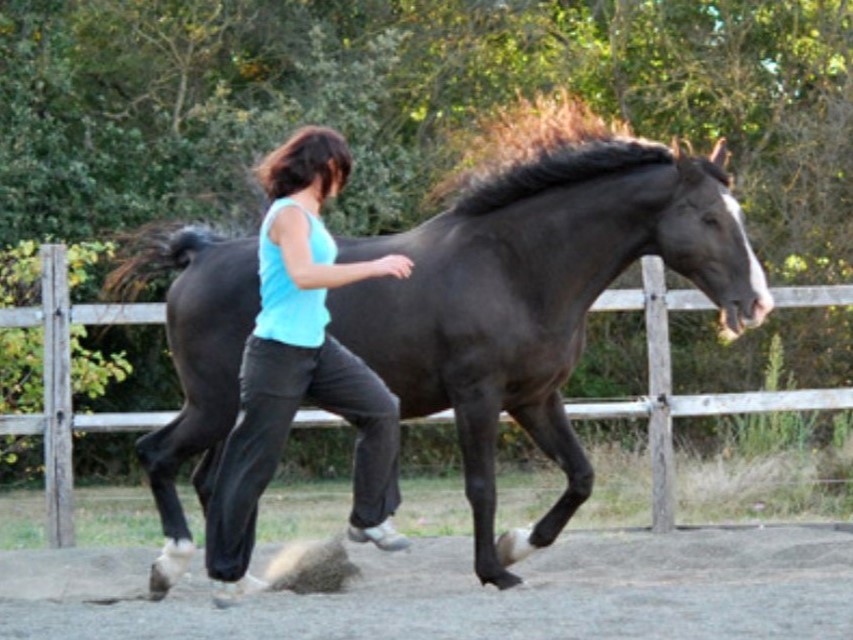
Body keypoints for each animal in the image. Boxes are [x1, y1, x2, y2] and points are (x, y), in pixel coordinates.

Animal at [125, 127, 772, 596]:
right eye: (710, 217)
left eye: (737, 213)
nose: (756, 303)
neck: (515, 268)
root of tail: (199, 256)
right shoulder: (477, 396)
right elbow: (482, 487)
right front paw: (495, 570)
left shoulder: (536, 398)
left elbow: (581, 476)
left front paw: (518, 543)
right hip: (215, 404)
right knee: (158, 455)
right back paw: (171, 564)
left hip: (243, 409)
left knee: (214, 480)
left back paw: (238, 577)